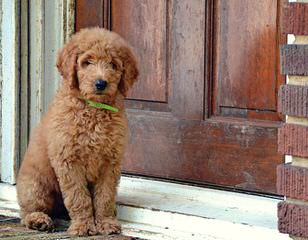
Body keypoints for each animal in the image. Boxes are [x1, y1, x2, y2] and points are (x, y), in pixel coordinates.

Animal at [15, 27, 138, 235]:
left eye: (113, 65)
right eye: (87, 62)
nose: (101, 83)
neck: (94, 109)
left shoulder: (110, 161)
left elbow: (105, 196)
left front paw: (106, 222)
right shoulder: (68, 161)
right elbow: (78, 197)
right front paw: (84, 225)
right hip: (35, 186)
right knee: (27, 211)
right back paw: (38, 220)